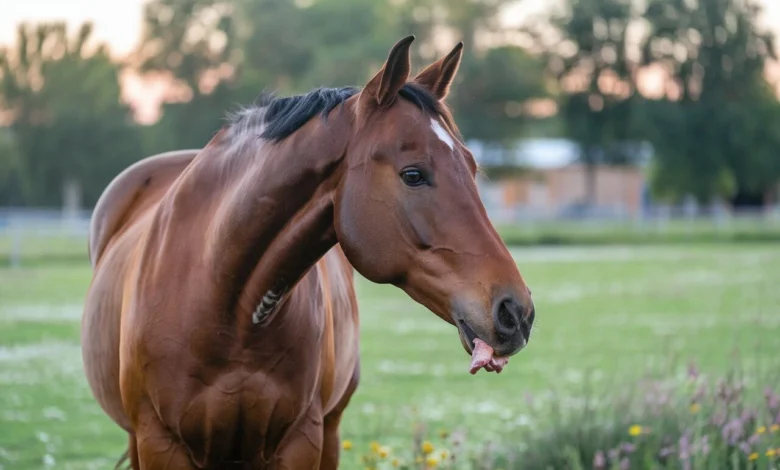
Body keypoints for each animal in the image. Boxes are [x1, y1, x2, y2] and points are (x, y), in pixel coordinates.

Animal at [82, 36, 536, 470]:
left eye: (472, 168)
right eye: (413, 174)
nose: (516, 312)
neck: (224, 305)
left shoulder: (301, 441)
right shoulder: (160, 444)